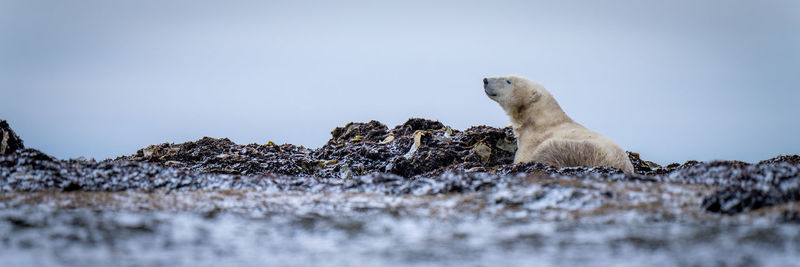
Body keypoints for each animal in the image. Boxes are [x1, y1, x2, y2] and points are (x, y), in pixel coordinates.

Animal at [484, 75, 636, 174]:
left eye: (508, 81)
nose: (485, 80)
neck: (539, 119)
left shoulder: (534, 138)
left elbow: (523, 157)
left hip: (578, 150)